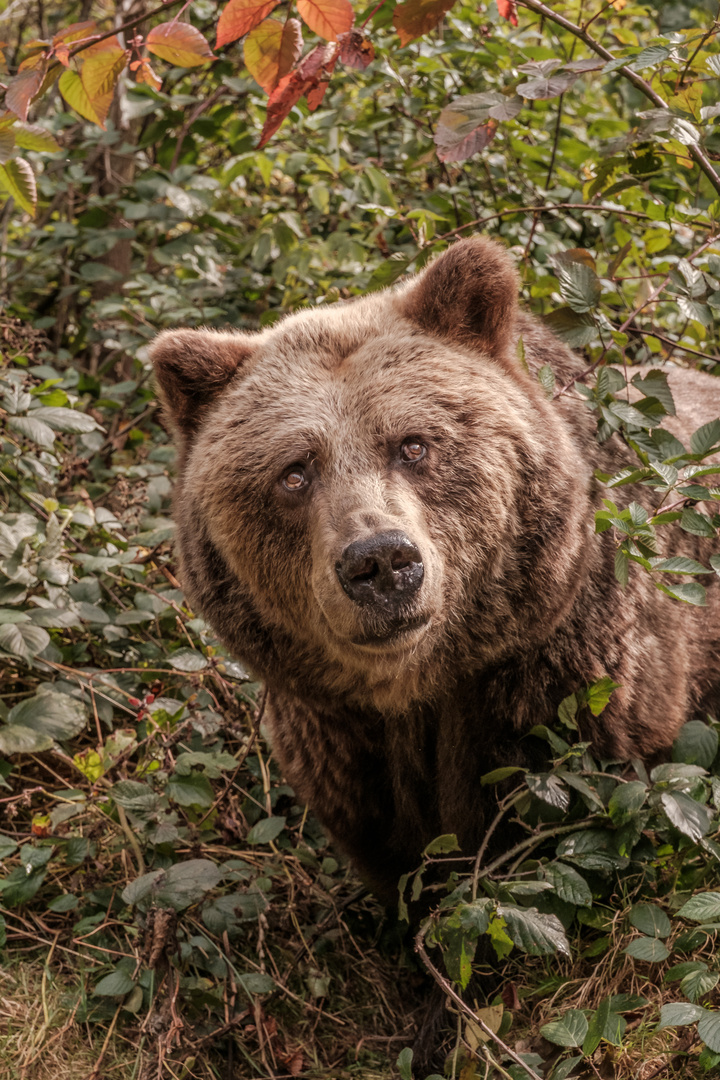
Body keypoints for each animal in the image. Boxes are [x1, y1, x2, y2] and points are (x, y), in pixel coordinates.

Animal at [151, 236, 720, 902]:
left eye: (414, 444)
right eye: (294, 472)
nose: (380, 561)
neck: (419, 687)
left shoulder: (567, 696)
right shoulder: (341, 741)